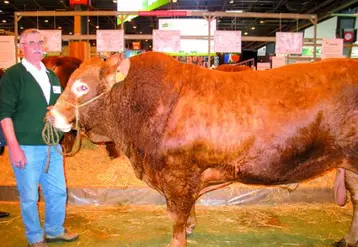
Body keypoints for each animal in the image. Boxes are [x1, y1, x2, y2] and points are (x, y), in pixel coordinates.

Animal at [48, 52, 358, 247]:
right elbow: (187, 211)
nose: (51, 116)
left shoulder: (177, 175)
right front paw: (190, 227)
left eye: (82, 86)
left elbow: (176, 215)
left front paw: (177, 240)